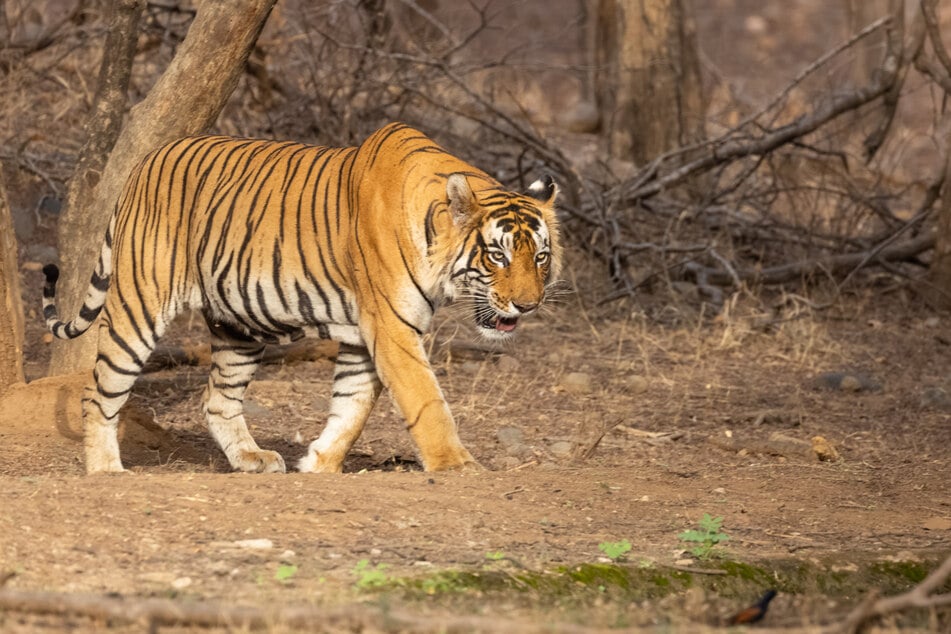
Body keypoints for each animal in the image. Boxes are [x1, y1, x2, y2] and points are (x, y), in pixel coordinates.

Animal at [44, 121, 560, 472]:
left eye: (540, 257)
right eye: (497, 255)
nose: (527, 305)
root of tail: (143, 162)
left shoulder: (365, 333)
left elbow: (353, 405)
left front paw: (319, 463)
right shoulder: (392, 326)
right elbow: (425, 399)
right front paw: (457, 466)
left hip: (237, 325)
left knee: (217, 399)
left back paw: (252, 458)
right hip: (139, 306)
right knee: (99, 390)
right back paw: (106, 469)